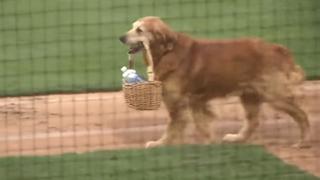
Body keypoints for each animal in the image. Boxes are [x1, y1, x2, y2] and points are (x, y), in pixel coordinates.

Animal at [119, 16, 308, 148]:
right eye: (132, 26)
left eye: (139, 30)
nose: (121, 37)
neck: (167, 51)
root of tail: (276, 47)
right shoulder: (195, 102)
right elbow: (200, 125)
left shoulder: (179, 102)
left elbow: (175, 127)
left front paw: (161, 144)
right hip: (249, 95)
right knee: (253, 122)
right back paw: (236, 138)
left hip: (275, 96)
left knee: (302, 115)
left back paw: (303, 142)